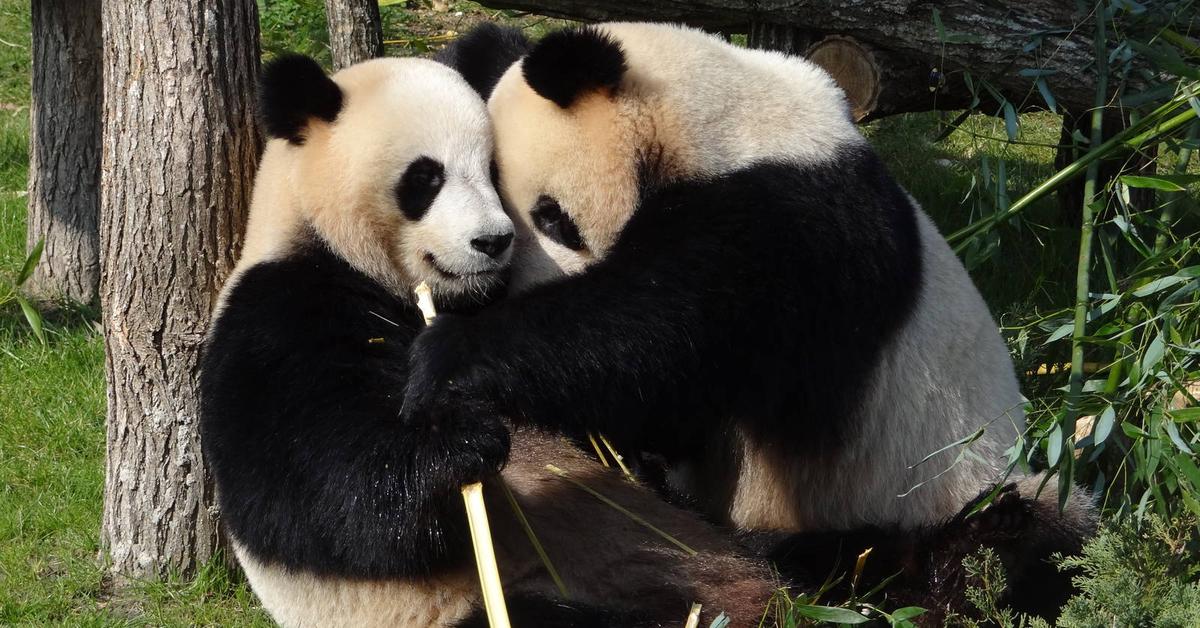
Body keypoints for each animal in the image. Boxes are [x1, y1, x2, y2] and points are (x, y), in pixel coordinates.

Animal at [198, 52, 782, 628]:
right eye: (426, 177)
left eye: (491, 171)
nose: (493, 241)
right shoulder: (279, 312)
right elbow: (328, 498)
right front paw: (460, 442)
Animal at [410, 22, 1099, 614]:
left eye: (552, 217)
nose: (512, 287)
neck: (725, 121)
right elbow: (671, 411)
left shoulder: (791, 229)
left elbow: (658, 340)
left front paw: (451, 356)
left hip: (939, 482)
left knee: (1032, 541)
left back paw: (951, 562)